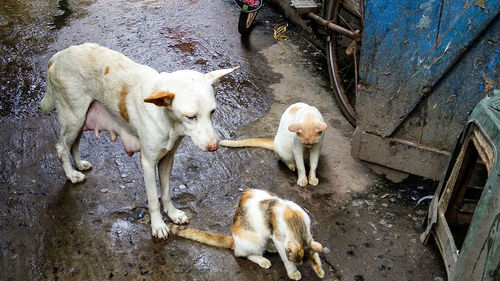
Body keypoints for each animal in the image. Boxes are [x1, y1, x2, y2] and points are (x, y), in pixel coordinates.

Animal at [38, 42, 237, 237]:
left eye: (212, 112)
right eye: (191, 117)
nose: (214, 147)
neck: (167, 119)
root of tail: (59, 55)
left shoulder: (167, 159)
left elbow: (166, 193)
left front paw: (172, 214)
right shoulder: (148, 162)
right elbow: (153, 199)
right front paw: (158, 225)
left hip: (80, 120)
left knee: (73, 145)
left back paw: (79, 165)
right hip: (74, 117)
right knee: (61, 147)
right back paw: (71, 174)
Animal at [169, 187, 324, 278]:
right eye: (295, 262)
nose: (299, 265)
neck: (295, 220)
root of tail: (234, 240)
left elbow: (315, 253)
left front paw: (319, 270)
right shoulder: (279, 238)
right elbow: (285, 257)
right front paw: (293, 272)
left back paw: (270, 247)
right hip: (255, 239)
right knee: (243, 254)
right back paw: (262, 260)